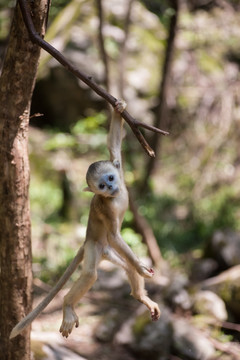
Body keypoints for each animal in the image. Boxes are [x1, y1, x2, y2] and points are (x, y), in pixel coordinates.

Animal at [9, 100, 159, 338]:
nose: (111, 188)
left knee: (125, 268)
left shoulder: (119, 169)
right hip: (93, 248)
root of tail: (89, 244)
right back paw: (67, 306)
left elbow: (114, 147)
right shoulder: (106, 208)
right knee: (90, 274)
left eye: (111, 178)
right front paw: (141, 266)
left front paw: (119, 108)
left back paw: (141, 297)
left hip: (107, 252)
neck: (115, 197)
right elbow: (115, 235)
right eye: (102, 186)